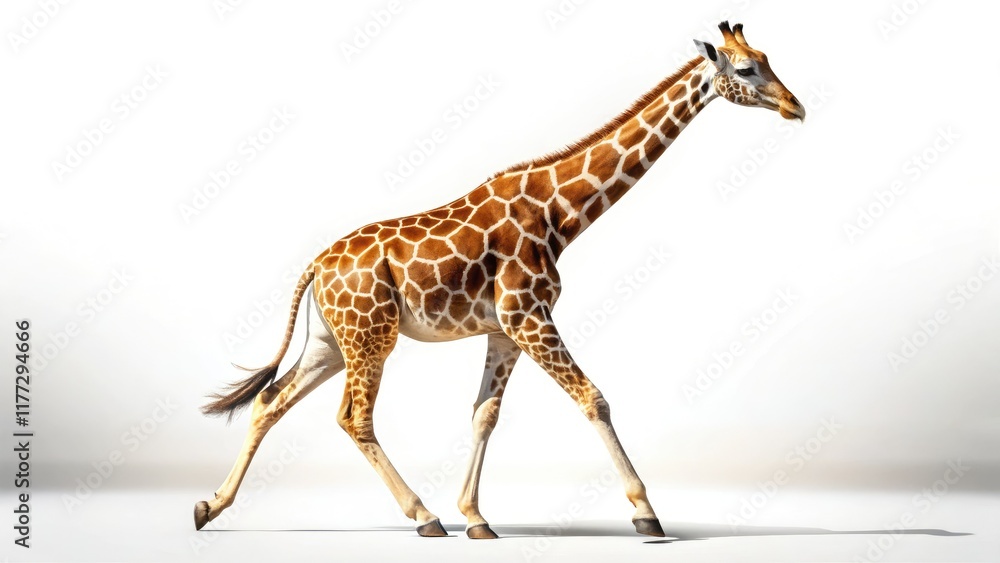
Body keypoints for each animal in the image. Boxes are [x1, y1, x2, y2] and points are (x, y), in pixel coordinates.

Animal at [194, 21, 805, 539]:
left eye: (768, 58)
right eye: (747, 69)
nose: (795, 106)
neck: (561, 213)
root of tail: (317, 265)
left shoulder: (504, 329)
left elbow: (483, 414)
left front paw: (477, 518)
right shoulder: (528, 315)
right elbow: (593, 397)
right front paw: (646, 513)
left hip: (331, 340)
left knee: (270, 401)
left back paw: (210, 507)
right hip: (371, 336)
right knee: (354, 417)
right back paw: (423, 517)